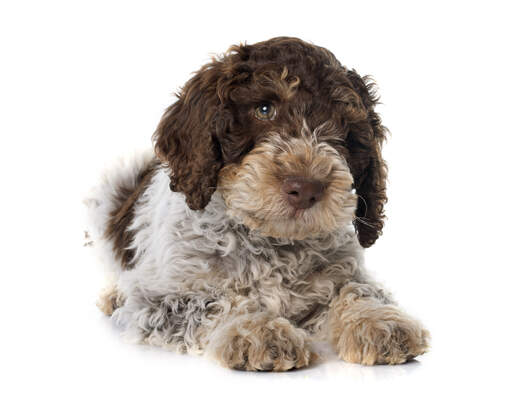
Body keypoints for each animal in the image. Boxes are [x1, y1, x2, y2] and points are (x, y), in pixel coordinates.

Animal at [84, 37, 428, 372]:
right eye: (264, 109)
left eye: (344, 126)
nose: (306, 188)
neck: (272, 241)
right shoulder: (159, 300)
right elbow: (218, 303)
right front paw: (261, 331)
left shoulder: (345, 274)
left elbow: (358, 290)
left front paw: (379, 321)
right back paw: (114, 294)